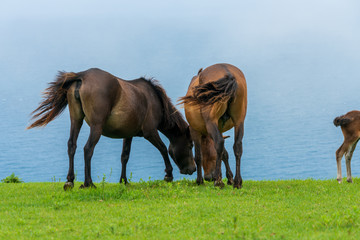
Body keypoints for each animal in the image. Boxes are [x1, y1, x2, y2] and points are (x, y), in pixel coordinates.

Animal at [28, 67, 195, 189]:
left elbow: (125, 156)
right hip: (96, 126)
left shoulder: (128, 134)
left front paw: (124, 181)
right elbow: (163, 149)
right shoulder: (150, 132)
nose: (193, 169)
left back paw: (70, 181)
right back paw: (88, 183)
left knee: (72, 145)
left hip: (76, 119)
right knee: (88, 149)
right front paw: (168, 175)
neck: (155, 101)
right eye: (190, 145)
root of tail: (82, 76)